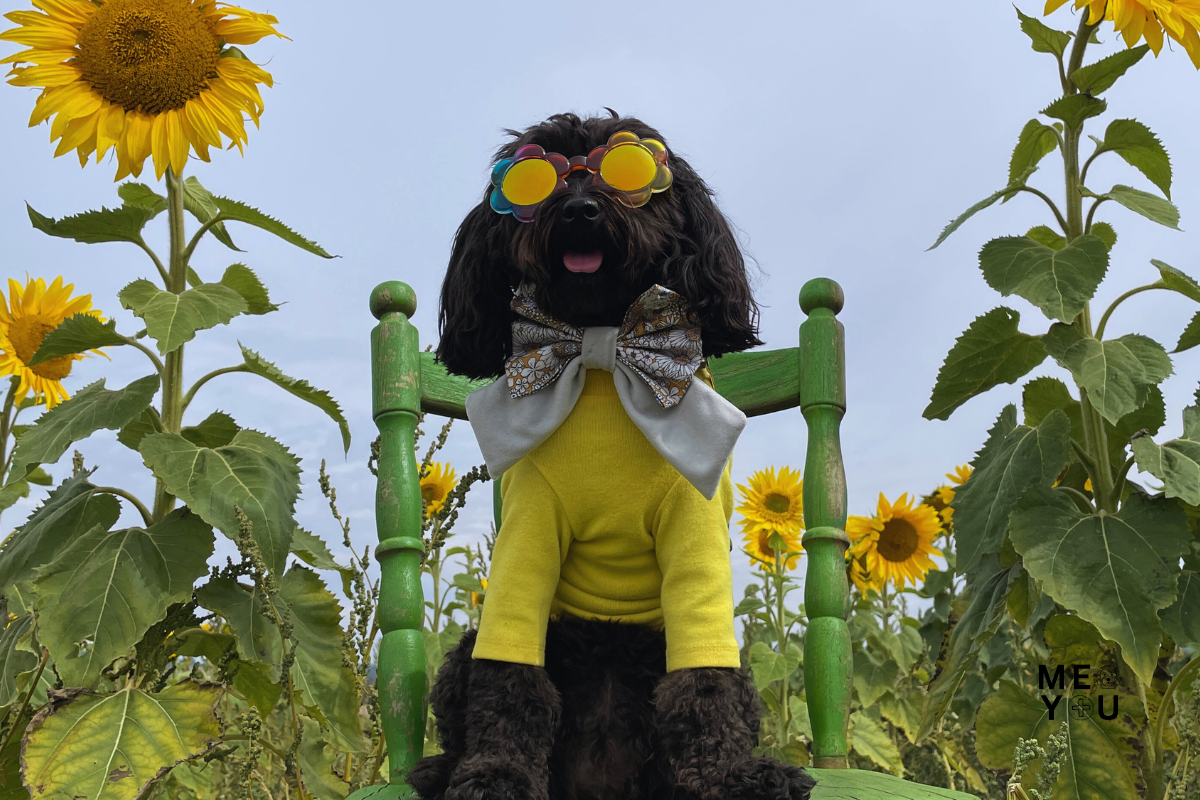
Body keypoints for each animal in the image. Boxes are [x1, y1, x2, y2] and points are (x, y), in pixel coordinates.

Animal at [410, 113, 816, 800]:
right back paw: (440, 769)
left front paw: (730, 776)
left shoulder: (695, 539)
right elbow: (510, 678)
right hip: (471, 649)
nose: (579, 210)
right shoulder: (526, 541)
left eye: (629, 171)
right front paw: (496, 774)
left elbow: (702, 683)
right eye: (533, 179)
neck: (600, 349)